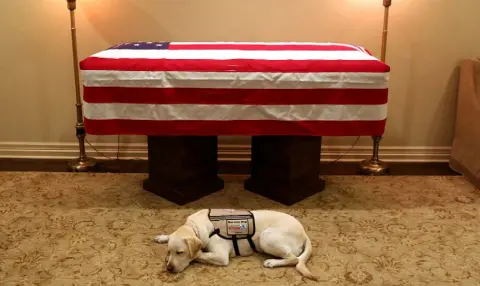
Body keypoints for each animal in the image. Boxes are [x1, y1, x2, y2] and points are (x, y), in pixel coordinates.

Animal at [154, 209, 318, 280]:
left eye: (180, 252)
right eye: (169, 251)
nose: (169, 268)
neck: (195, 227)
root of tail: (304, 232)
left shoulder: (220, 256)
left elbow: (199, 254)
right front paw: (162, 237)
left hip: (266, 237)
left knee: (294, 258)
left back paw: (271, 262)